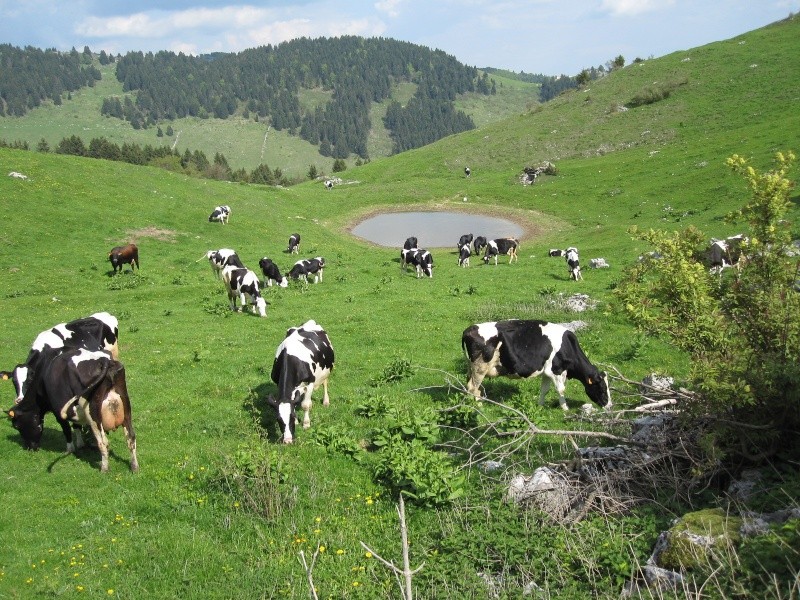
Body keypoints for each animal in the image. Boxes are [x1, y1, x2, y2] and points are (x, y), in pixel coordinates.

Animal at [7, 346, 139, 474]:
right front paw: (80, 444)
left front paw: (70, 449)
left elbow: (66, 430)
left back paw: (104, 469)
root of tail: (103, 361)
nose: (31, 448)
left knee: (103, 442)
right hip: (125, 406)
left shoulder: (58, 411)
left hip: (93, 414)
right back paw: (134, 467)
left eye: (17, 426)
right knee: (131, 437)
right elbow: (76, 426)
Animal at [462, 318, 612, 412]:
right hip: (479, 367)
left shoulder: (547, 372)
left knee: (470, 386)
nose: (610, 406)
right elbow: (561, 390)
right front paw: (565, 408)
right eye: (602, 389)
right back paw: (477, 406)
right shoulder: (556, 370)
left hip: (471, 368)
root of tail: (469, 329)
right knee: (473, 387)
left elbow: (544, 390)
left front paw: (540, 405)